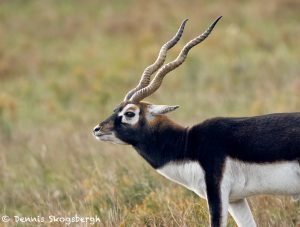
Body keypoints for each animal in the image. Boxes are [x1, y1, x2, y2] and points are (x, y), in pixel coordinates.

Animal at [93, 17, 300, 227]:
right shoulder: (236, 199)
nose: (97, 129)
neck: (188, 144)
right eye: (116, 109)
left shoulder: (217, 192)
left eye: (129, 113)